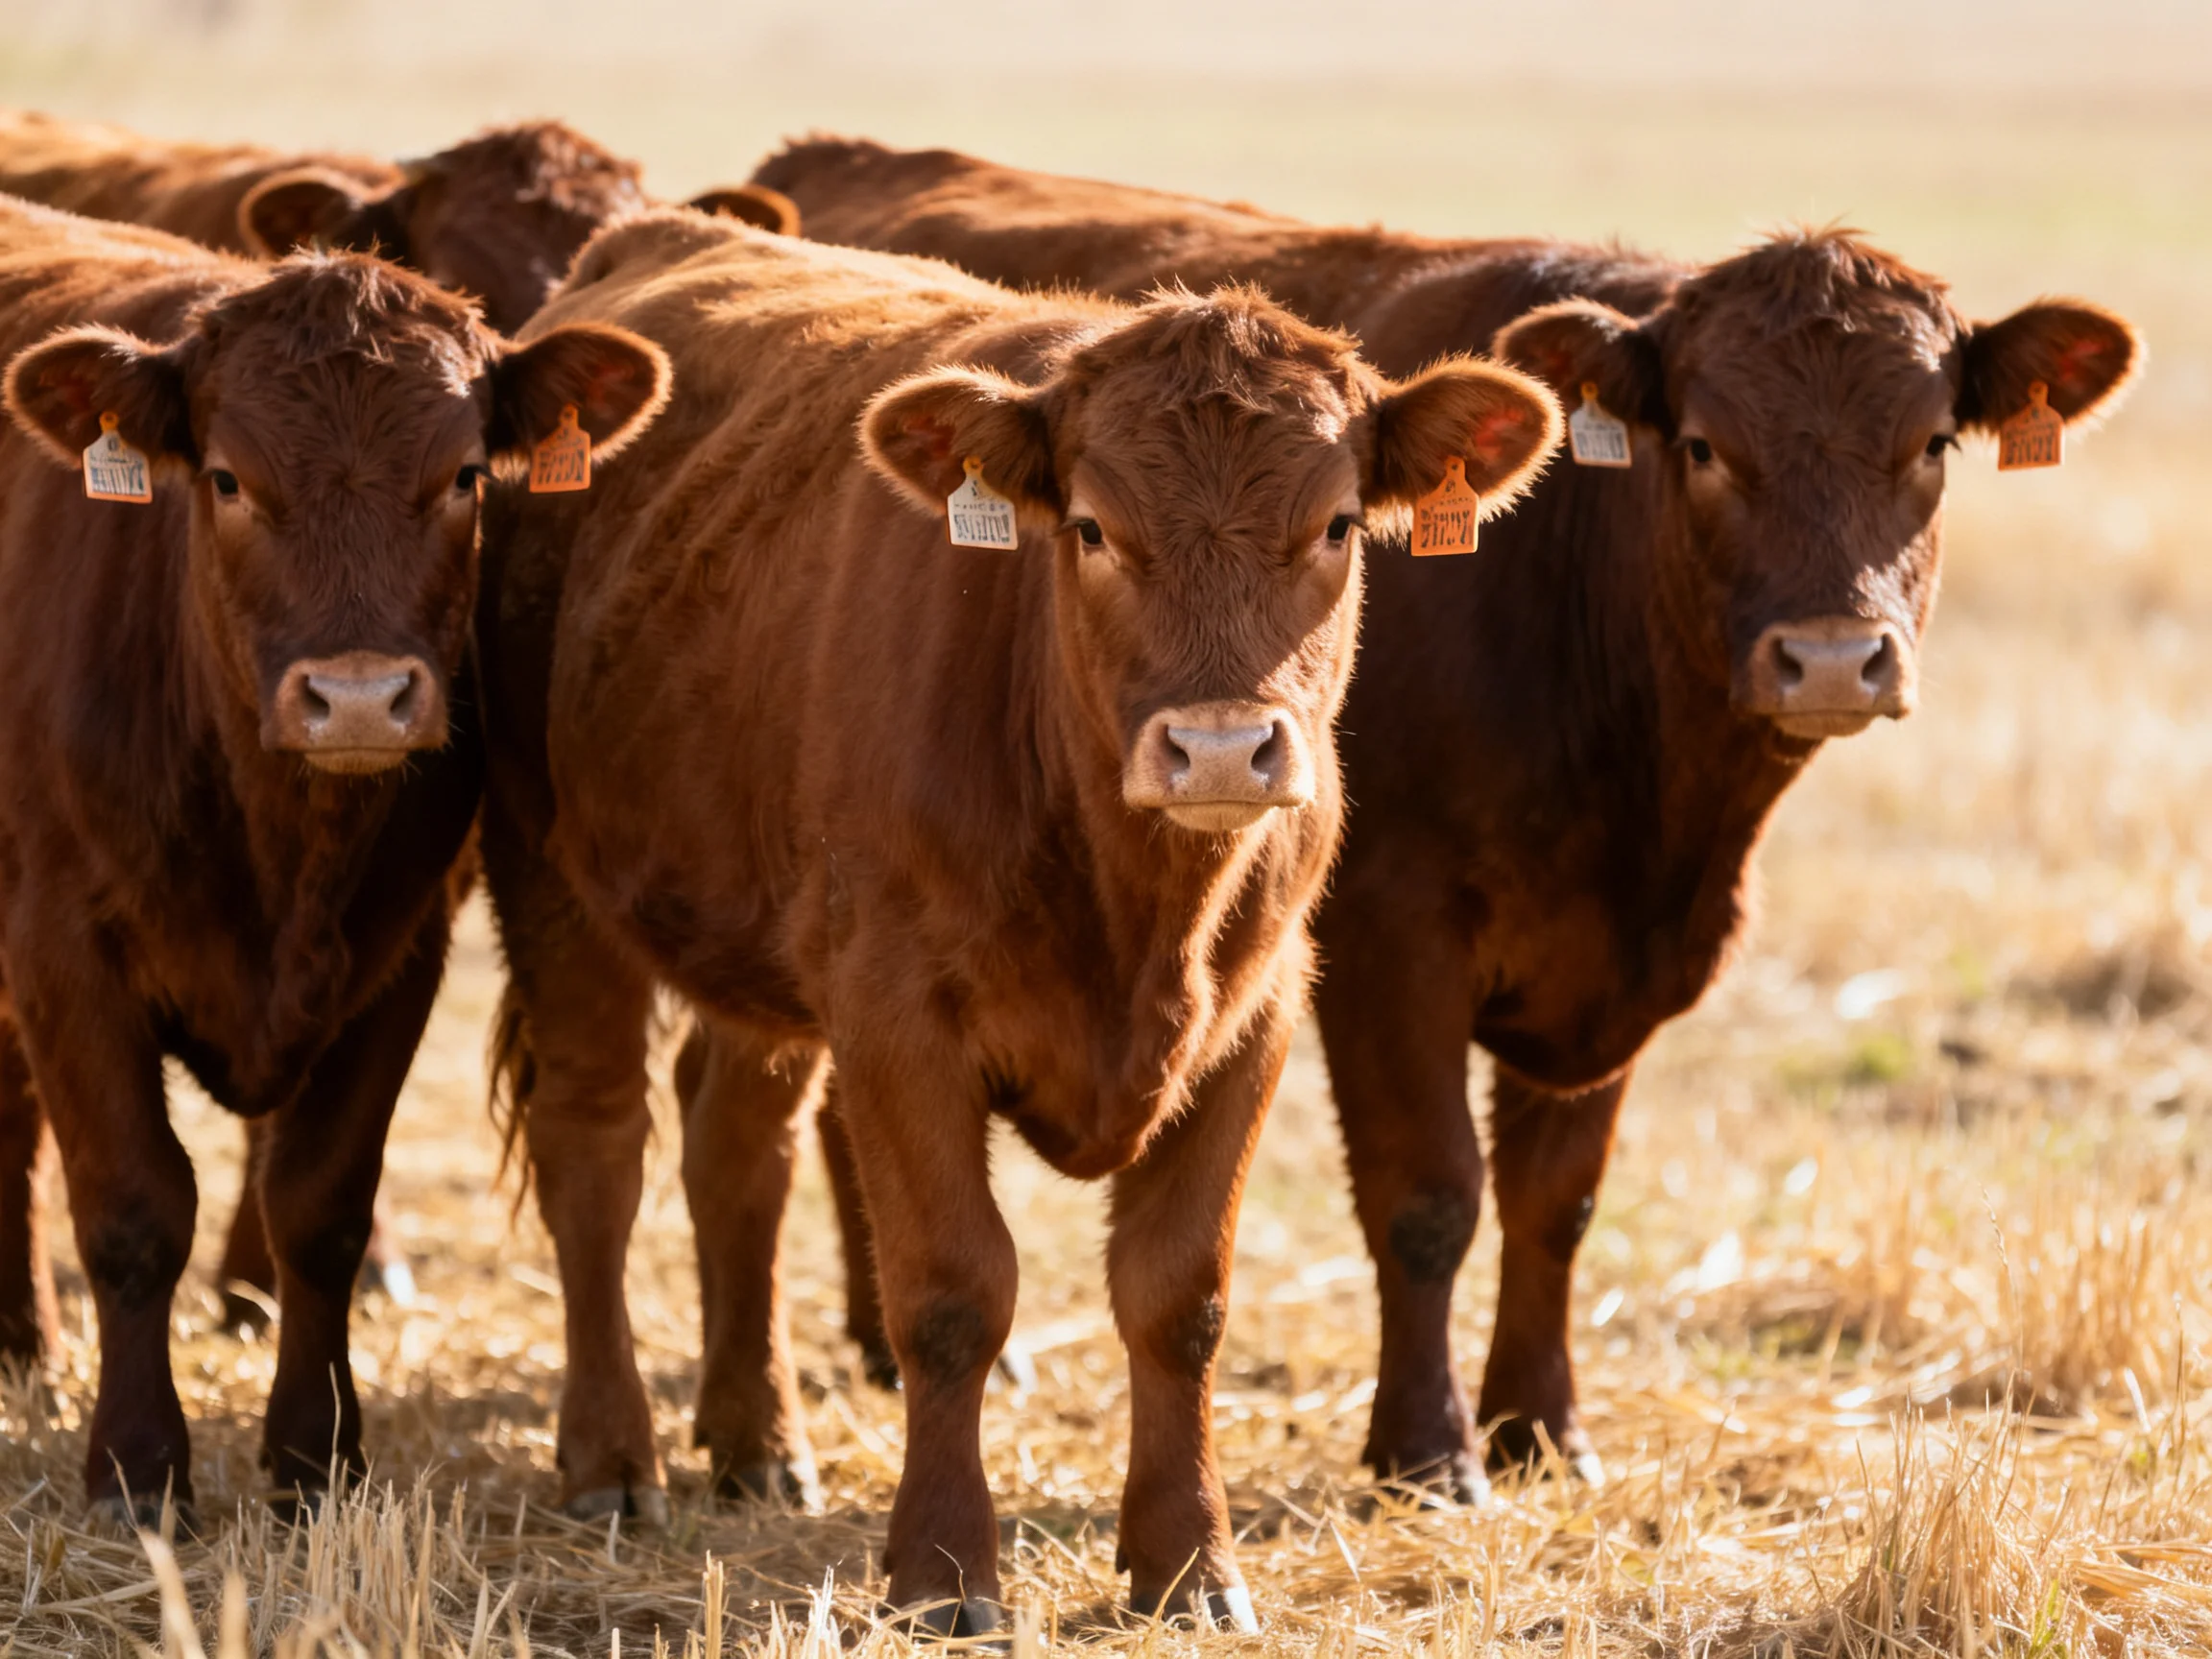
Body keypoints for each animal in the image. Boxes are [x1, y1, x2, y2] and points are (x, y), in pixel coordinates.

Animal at [0, 194, 668, 1525]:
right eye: (225, 477)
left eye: (464, 476)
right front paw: (136, 1467)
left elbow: (318, 1205)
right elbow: (134, 1208)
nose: (358, 698)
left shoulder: (398, 953)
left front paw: (317, 1457)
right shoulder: (61, 950)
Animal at [476, 207, 1559, 1630]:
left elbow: (1179, 1297)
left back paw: (758, 1442)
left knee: (738, 1152)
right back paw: (613, 1461)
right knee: (596, 1152)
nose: (1221, 751)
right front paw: (942, 1573)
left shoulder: (1255, 1016)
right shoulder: (896, 1020)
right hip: (554, 882)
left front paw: (1187, 1565)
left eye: (1334, 525)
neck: (1137, 908)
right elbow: (951, 1290)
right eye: (1092, 529)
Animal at [748, 137, 2142, 1498]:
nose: (1836, 658)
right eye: (1702, 446)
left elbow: (1555, 1199)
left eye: (1933, 445)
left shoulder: (1604, 963)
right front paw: (1427, 1448)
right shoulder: (1385, 935)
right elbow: (1428, 1196)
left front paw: (1542, 1425)